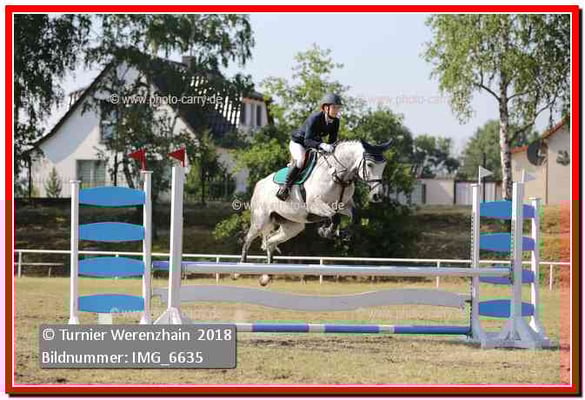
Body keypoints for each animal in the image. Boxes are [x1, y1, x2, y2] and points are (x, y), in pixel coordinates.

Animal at [239, 139, 391, 285]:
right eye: (370, 165)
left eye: (384, 166)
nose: (377, 196)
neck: (339, 176)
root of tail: (259, 184)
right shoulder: (314, 204)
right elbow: (334, 216)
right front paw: (327, 231)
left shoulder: (343, 205)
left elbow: (354, 216)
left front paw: (344, 233)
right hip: (261, 221)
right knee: (248, 240)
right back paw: (240, 269)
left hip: (292, 227)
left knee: (270, 242)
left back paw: (267, 276)